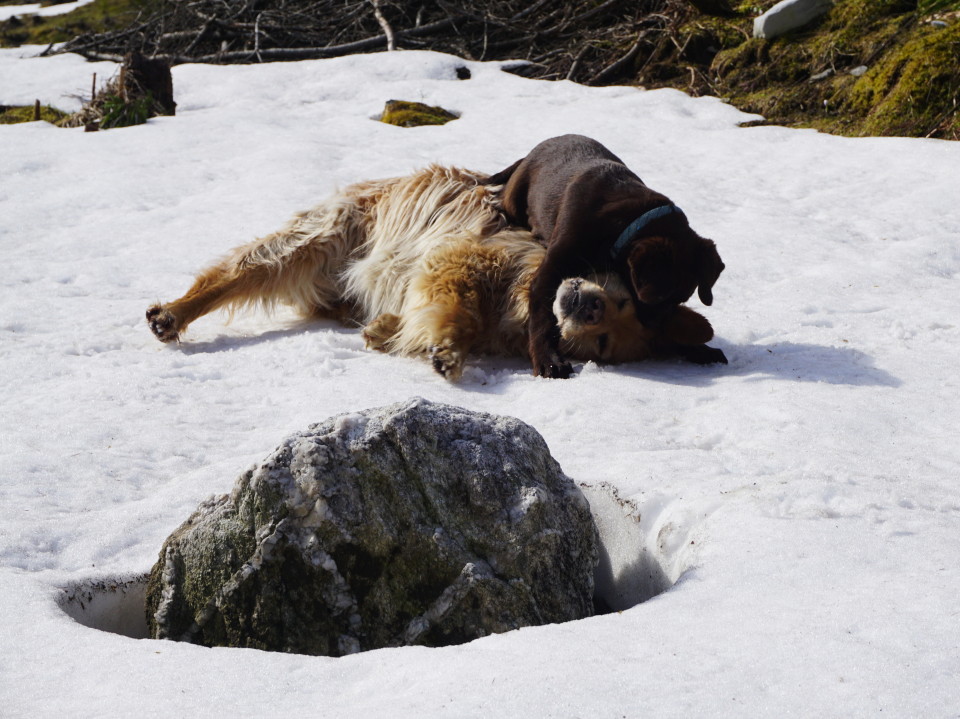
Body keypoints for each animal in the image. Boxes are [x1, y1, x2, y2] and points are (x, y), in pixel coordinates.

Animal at [146, 162, 708, 376]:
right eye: (622, 300)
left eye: (603, 343)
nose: (587, 306)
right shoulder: (458, 260)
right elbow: (457, 310)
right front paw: (447, 349)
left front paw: (389, 330)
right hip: (316, 239)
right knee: (230, 274)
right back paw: (174, 312)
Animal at [488, 134, 728, 376]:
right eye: (660, 298)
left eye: (680, 299)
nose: (655, 328)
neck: (629, 221)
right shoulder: (550, 270)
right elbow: (542, 318)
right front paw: (549, 360)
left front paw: (699, 348)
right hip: (516, 198)